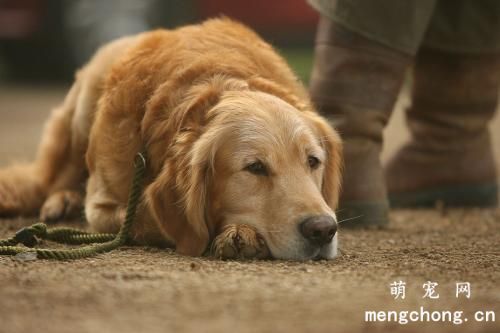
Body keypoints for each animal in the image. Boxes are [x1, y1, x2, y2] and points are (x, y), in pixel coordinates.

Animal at [0, 18, 342, 260]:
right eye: (255, 167)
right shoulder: (102, 205)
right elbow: (147, 218)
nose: (324, 230)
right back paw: (63, 200)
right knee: (54, 178)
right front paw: (236, 233)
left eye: (313, 161)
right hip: (84, 105)